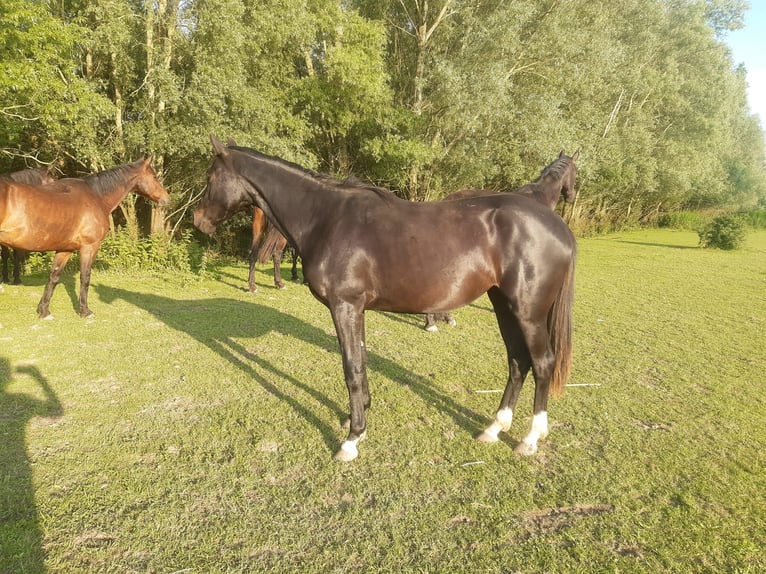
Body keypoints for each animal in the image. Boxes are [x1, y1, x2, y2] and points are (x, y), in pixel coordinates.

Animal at [0, 158, 170, 320]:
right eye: (154, 176)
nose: (166, 199)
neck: (96, 196)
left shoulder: (65, 249)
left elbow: (54, 277)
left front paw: (44, 311)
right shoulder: (90, 247)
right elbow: (85, 278)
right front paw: (85, 311)